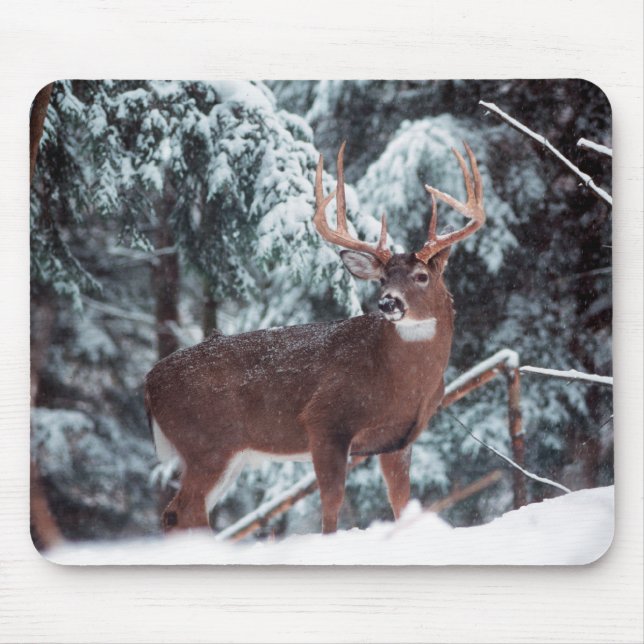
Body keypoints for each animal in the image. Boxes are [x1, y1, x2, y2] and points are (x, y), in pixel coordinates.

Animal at [144, 141, 485, 535]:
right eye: (383, 279)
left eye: (421, 276)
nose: (388, 303)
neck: (398, 379)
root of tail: (149, 382)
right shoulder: (325, 419)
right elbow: (332, 503)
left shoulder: (398, 439)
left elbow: (401, 502)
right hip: (206, 443)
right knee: (187, 511)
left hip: (225, 453)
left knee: (177, 513)